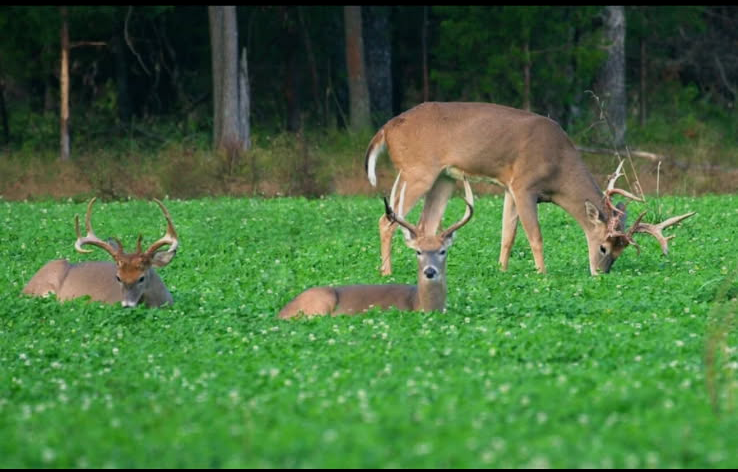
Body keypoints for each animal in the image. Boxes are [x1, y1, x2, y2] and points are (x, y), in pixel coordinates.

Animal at [278, 175, 474, 319]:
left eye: (443, 251)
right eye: (418, 252)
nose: (430, 271)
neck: (419, 303)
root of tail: (281, 313)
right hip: (321, 303)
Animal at [364, 101, 695, 276]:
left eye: (621, 249)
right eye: (603, 246)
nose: (601, 272)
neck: (559, 166)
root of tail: (385, 129)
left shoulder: (510, 188)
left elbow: (507, 234)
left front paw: (502, 270)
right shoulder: (525, 184)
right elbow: (534, 235)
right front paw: (542, 273)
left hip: (444, 178)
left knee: (426, 224)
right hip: (417, 170)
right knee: (387, 219)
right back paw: (386, 272)